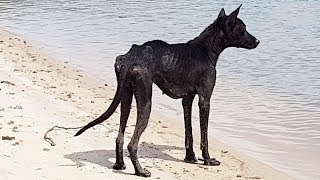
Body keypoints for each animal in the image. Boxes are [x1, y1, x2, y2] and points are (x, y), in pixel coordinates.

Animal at [75, 5, 260, 177]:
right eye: (243, 29)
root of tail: (130, 57)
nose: (258, 41)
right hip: (145, 103)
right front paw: (207, 159)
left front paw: (190, 157)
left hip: (125, 98)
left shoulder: (187, 100)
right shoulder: (204, 100)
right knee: (132, 144)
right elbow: (204, 136)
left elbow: (188, 132)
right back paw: (140, 171)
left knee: (119, 137)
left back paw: (120, 165)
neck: (206, 49)